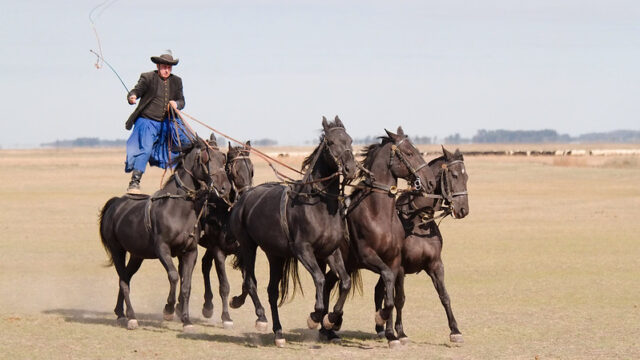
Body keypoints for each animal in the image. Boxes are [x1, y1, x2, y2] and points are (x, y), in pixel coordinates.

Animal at [99, 138, 231, 332]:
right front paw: (168, 309)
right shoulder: (162, 248)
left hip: (137, 255)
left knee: (127, 278)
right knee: (123, 281)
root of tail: (116, 203)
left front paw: (186, 321)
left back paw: (120, 313)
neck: (178, 209)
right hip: (117, 251)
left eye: (223, 158)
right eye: (207, 158)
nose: (224, 188)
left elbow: (186, 285)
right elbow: (174, 276)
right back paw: (131, 317)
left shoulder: (190, 252)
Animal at [200, 142, 252, 328]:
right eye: (234, 170)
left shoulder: (243, 252)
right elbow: (224, 286)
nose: (246, 196)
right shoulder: (219, 251)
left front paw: (237, 302)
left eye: (252, 170)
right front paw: (226, 316)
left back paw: (207, 306)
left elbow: (247, 283)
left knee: (205, 264)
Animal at [231, 116, 360, 346]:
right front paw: (315, 317)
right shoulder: (303, 250)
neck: (318, 204)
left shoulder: (331, 251)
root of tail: (245, 196)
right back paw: (261, 318)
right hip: (248, 246)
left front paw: (331, 319)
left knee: (272, 291)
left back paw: (279, 333)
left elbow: (344, 282)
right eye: (331, 142)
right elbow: (319, 279)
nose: (351, 169)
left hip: (275, 255)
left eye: (350, 140)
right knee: (250, 282)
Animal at [322, 128, 438, 348]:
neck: (378, 214)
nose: (431, 182)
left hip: (347, 264)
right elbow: (388, 288)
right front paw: (382, 321)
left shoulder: (394, 261)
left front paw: (391, 334)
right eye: (409, 153)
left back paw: (328, 327)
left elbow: (390, 295)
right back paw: (328, 323)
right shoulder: (368, 257)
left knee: (329, 283)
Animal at [370, 146, 470, 344]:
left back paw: (380, 328)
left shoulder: (435, 265)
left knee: (379, 291)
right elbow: (399, 299)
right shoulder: (400, 268)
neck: (417, 220)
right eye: (454, 175)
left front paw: (455, 331)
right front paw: (400, 332)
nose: (463, 209)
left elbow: (444, 296)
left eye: (467, 177)